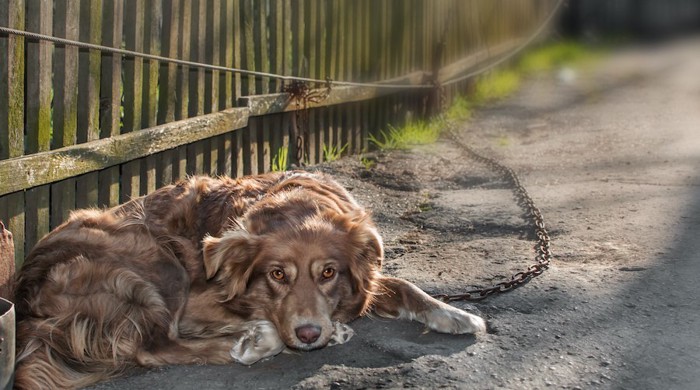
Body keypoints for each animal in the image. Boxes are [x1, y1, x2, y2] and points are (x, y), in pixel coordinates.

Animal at [13, 172, 484, 388]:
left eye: (328, 272)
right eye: (277, 274)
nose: (309, 333)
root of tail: (22, 294)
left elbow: (402, 285)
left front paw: (453, 314)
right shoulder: (201, 298)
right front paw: (265, 332)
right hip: (156, 258)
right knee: (151, 346)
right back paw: (251, 343)